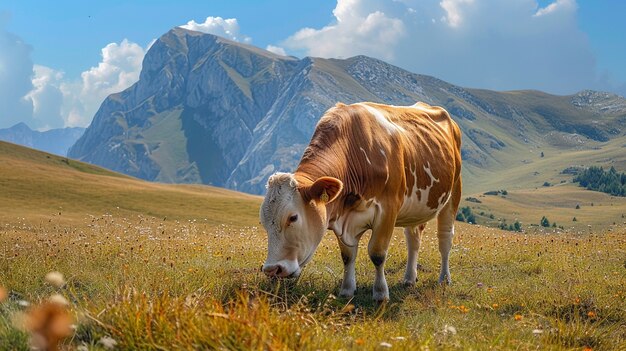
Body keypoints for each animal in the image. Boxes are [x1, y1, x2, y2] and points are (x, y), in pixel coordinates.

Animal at [258, 102, 458, 302]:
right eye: (264, 222)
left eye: (293, 218)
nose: (272, 269)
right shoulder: (344, 216)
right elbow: (347, 256)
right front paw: (347, 290)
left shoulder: (388, 210)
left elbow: (377, 254)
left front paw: (380, 294)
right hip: (416, 210)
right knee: (413, 239)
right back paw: (409, 279)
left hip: (453, 194)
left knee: (445, 240)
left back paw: (444, 278)